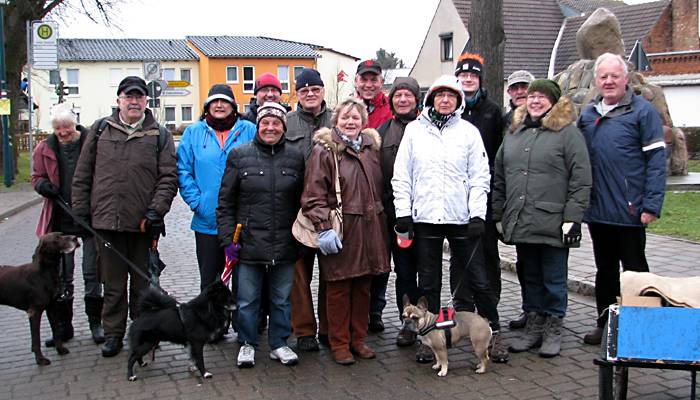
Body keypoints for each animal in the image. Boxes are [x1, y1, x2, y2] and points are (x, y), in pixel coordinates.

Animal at [0, 231, 80, 366]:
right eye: (56, 238)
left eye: (61, 233)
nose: (75, 238)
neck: (45, 272)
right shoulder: (34, 312)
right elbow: (36, 339)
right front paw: (40, 359)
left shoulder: (52, 307)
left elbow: (56, 331)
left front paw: (60, 349)